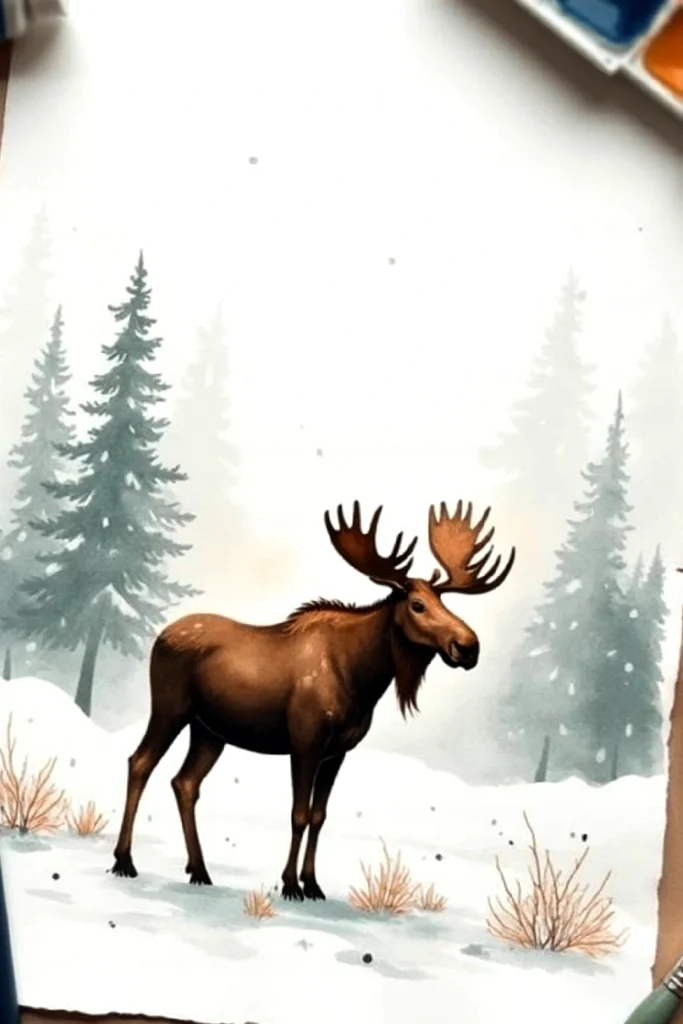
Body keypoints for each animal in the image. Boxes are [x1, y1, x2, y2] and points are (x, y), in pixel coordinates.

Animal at [112, 499, 515, 901]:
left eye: (444, 603)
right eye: (417, 605)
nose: (469, 646)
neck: (362, 680)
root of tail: (160, 636)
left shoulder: (338, 750)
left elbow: (320, 817)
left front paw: (313, 882)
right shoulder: (306, 739)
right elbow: (299, 814)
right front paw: (290, 884)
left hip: (210, 730)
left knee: (185, 782)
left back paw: (199, 869)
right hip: (170, 707)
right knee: (140, 762)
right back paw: (124, 860)